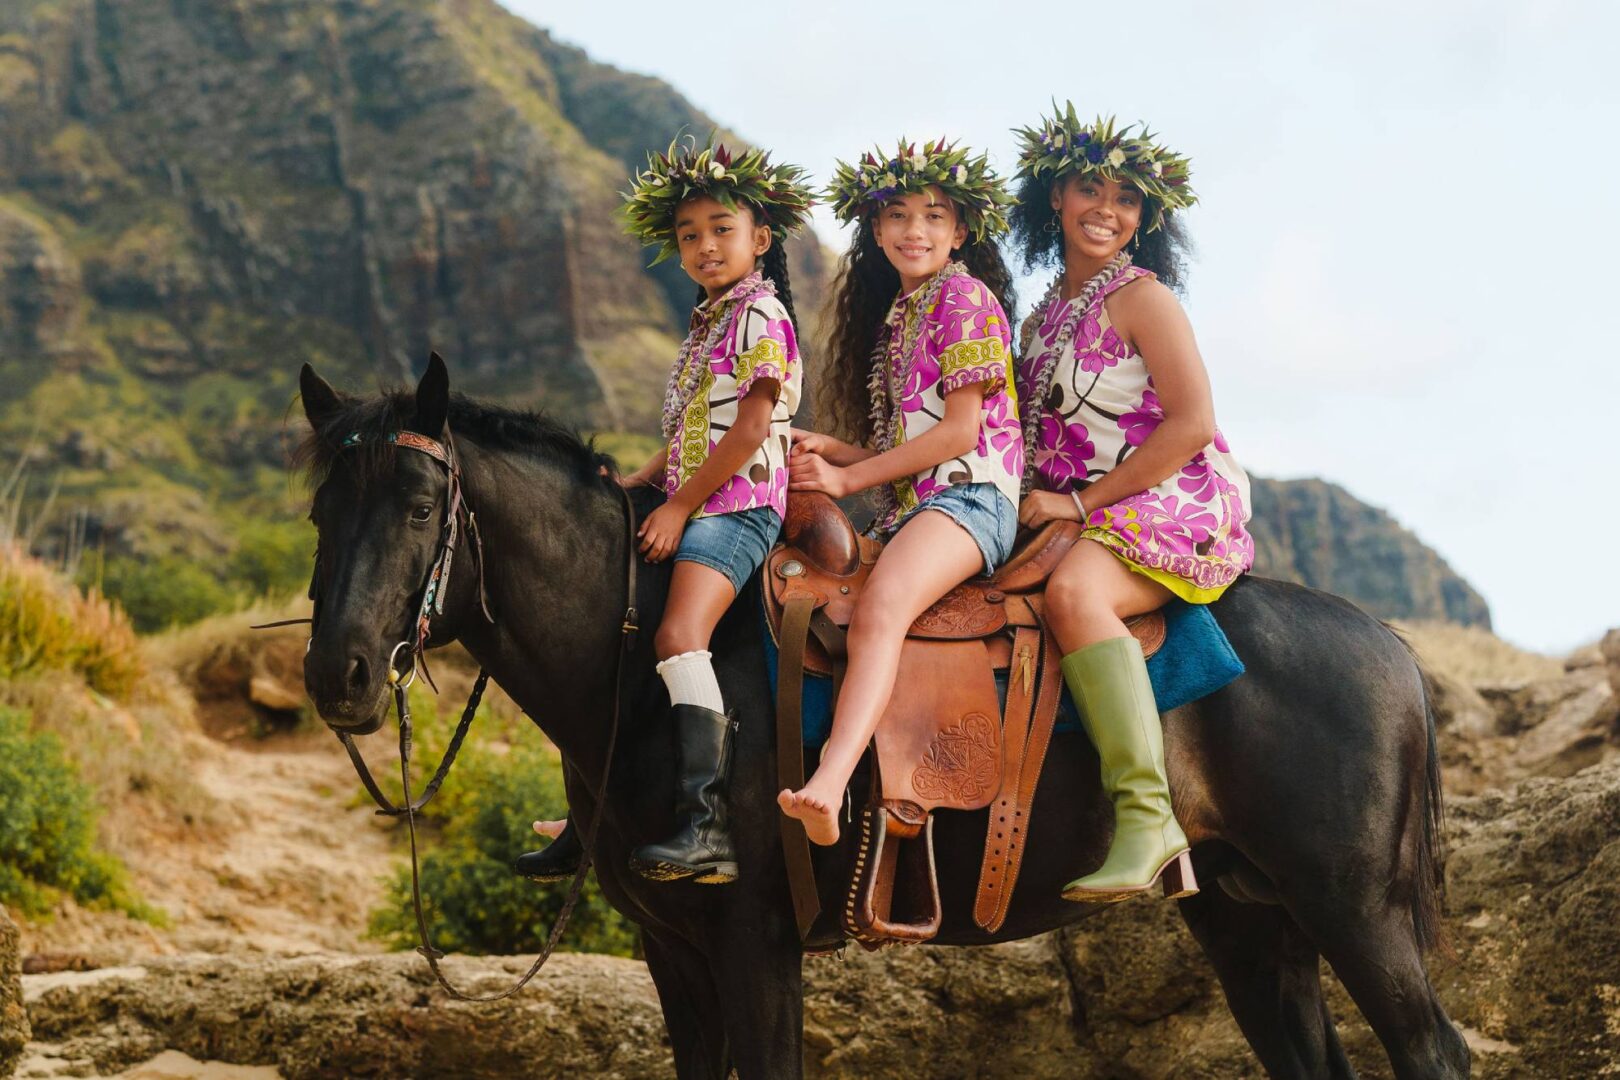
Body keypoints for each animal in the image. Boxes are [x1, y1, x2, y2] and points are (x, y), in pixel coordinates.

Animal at [298, 361, 1477, 1080]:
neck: (644, 677)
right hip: (1249, 920)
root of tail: (1393, 653)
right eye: (319, 512)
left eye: (419, 507)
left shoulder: (755, 943)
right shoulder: (672, 953)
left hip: (1355, 913)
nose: (338, 675)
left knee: (1433, 1052)